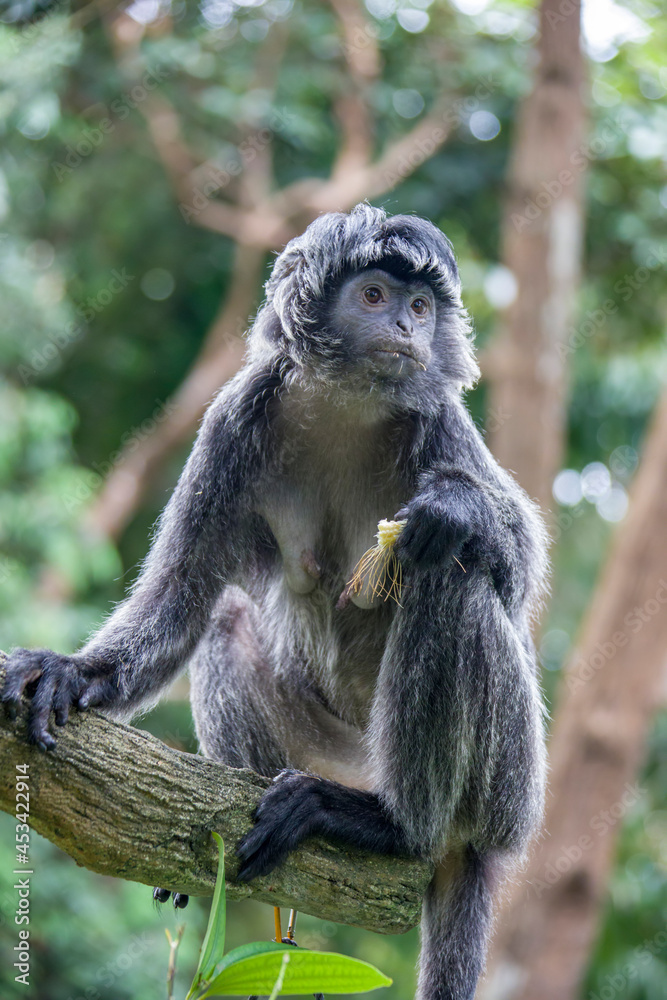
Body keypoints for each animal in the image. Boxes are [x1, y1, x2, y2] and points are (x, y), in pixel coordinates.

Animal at [2, 204, 548, 1000]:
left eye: (421, 306)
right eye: (375, 296)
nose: (409, 328)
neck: (347, 403)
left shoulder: (440, 421)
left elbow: (519, 575)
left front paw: (456, 509)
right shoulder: (233, 418)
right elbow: (180, 597)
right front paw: (71, 672)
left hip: (509, 792)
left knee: (450, 577)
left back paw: (391, 825)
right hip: (319, 750)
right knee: (227, 616)